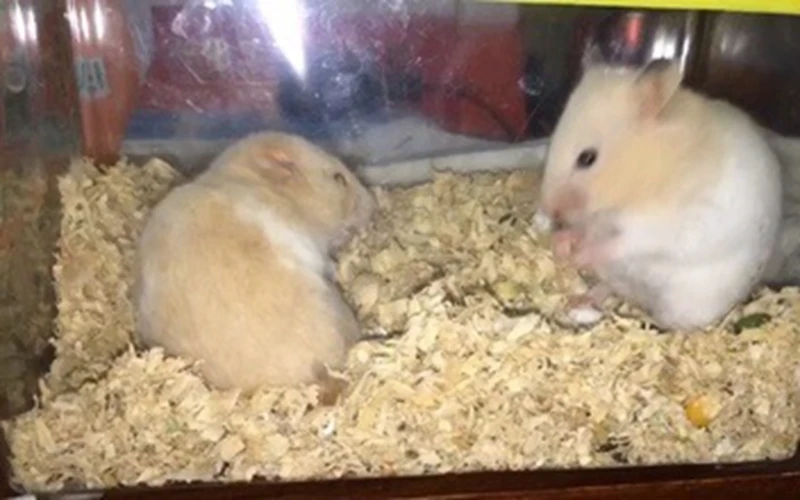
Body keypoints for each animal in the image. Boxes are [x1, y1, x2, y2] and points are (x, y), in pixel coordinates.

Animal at [537, 54, 782, 331]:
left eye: (587, 158)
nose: (549, 209)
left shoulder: (656, 228)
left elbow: (620, 243)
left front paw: (579, 256)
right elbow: (582, 232)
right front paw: (561, 246)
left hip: (687, 302)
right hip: (615, 276)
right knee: (609, 287)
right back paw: (581, 299)